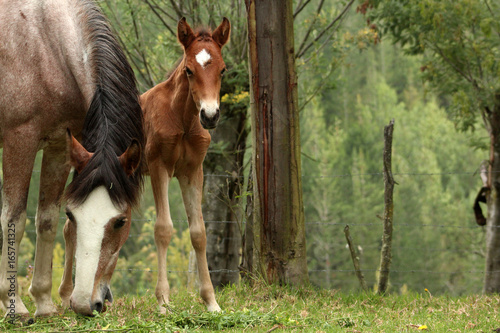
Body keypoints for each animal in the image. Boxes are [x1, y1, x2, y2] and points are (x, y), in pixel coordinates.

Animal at [0, 0, 145, 316]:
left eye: (120, 221)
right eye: (74, 215)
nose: (84, 304)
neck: (45, 46)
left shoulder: (59, 146)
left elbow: (46, 220)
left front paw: (43, 303)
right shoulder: (20, 140)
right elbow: (13, 219)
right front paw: (14, 305)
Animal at [142, 16, 231, 312]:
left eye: (223, 70)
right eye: (189, 70)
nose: (210, 115)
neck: (181, 118)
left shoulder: (192, 171)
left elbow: (199, 232)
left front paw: (211, 301)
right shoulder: (158, 166)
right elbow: (163, 228)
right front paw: (162, 302)